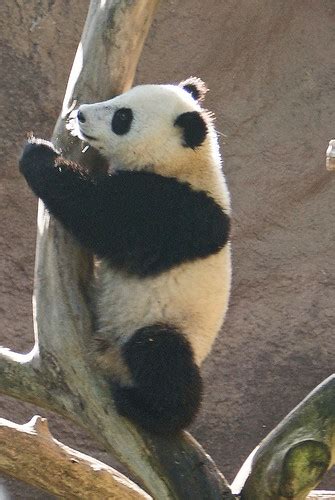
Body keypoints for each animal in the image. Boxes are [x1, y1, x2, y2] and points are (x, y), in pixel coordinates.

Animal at [19, 78, 232, 434]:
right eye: (122, 96)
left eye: (122, 117)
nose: (81, 114)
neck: (185, 164)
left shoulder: (176, 211)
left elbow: (102, 218)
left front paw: (37, 153)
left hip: (168, 326)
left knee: (160, 355)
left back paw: (152, 412)